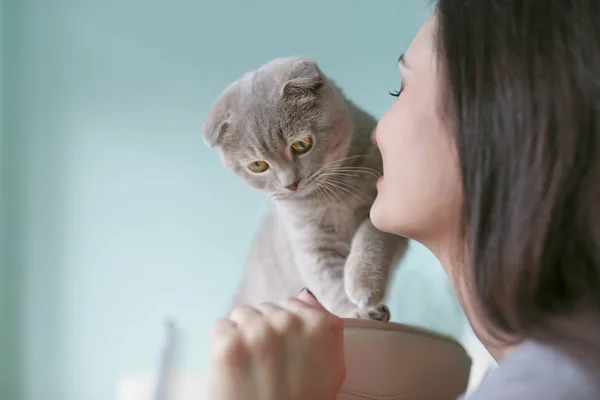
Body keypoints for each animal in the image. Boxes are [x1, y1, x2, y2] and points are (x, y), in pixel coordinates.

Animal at [202, 56, 408, 320]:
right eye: (258, 166)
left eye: (301, 144)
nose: (290, 183)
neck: (334, 194)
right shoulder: (311, 244)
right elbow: (329, 283)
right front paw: (357, 311)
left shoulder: (388, 205)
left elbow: (372, 235)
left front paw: (362, 283)